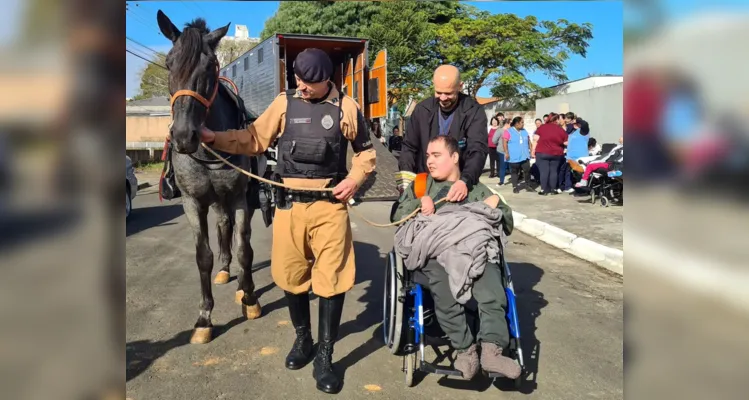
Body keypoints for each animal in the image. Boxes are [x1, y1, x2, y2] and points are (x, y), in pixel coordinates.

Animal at [156, 11, 262, 344]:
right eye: (169, 63)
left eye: (211, 66)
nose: (183, 136)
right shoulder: (193, 202)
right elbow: (203, 255)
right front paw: (204, 317)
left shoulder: (240, 197)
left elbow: (245, 248)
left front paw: (249, 298)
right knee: (222, 226)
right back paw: (226, 269)